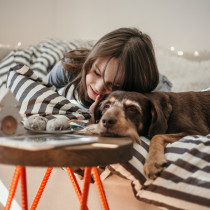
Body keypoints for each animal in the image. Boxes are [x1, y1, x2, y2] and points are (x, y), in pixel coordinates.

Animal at [79, 90, 210, 179]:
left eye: (132, 109)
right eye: (106, 106)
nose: (106, 121)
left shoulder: (195, 132)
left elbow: (157, 136)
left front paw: (153, 161)